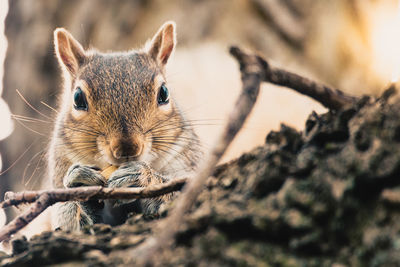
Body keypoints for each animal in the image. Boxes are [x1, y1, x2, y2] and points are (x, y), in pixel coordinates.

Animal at [45, 21, 202, 231]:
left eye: (164, 92)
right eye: (77, 98)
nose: (127, 148)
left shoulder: (186, 157)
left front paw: (141, 177)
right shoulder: (62, 162)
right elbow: (67, 218)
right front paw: (79, 183)